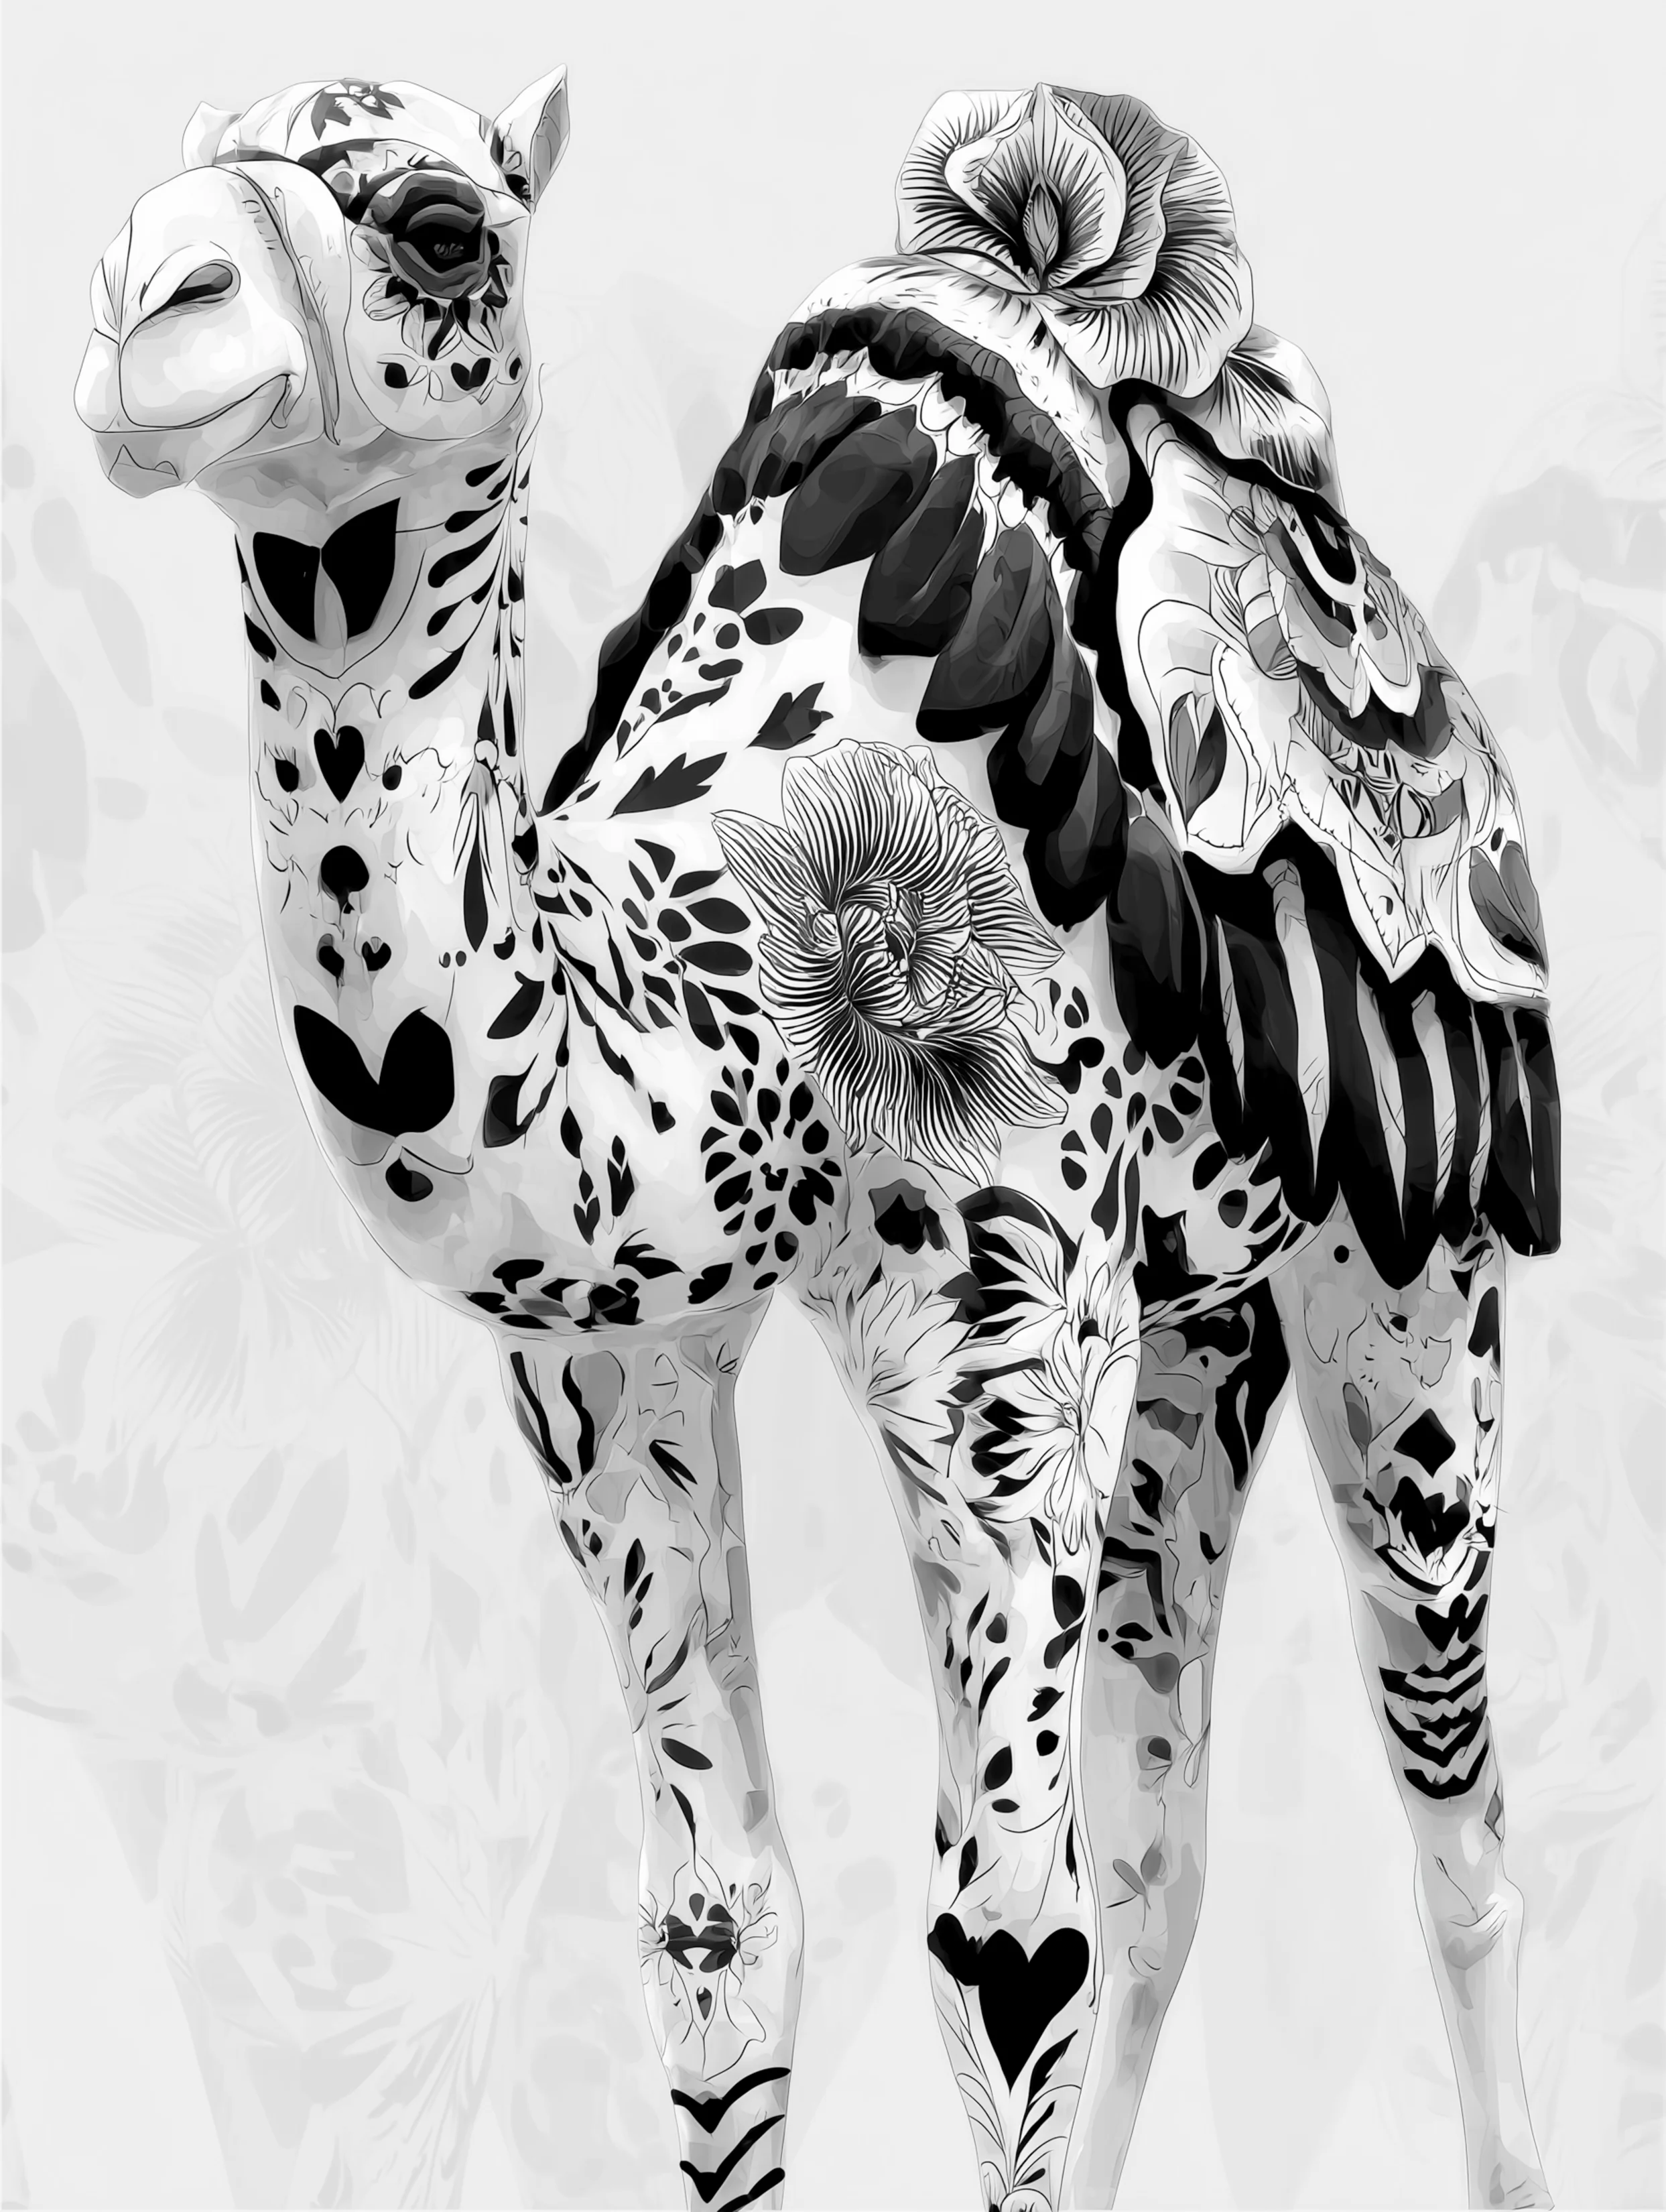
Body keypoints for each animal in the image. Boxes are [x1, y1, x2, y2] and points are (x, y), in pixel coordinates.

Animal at [76, 66, 1560, 2210]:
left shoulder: (997, 1322)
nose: (139, 308)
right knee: (1164, 1853)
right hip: (1192, 1329)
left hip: (1416, 1252)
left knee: (1450, 1835)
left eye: (442, 225)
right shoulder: (612, 1370)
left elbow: (1002, 1948)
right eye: (150, 190)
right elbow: (721, 1921)